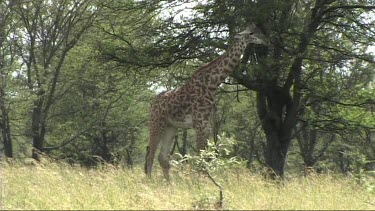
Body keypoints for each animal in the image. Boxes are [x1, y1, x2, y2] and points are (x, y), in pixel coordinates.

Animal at [145, 23, 268, 179]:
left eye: (259, 31)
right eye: (251, 33)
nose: (266, 40)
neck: (212, 84)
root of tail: (152, 104)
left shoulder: (208, 126)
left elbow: (206, 159)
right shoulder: (200, 124)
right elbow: (200, 159)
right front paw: (198, 182)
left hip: (170, 127)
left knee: (162, 157)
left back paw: (169, 183)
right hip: (156, 123)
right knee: (150, 155)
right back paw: (150, 181)